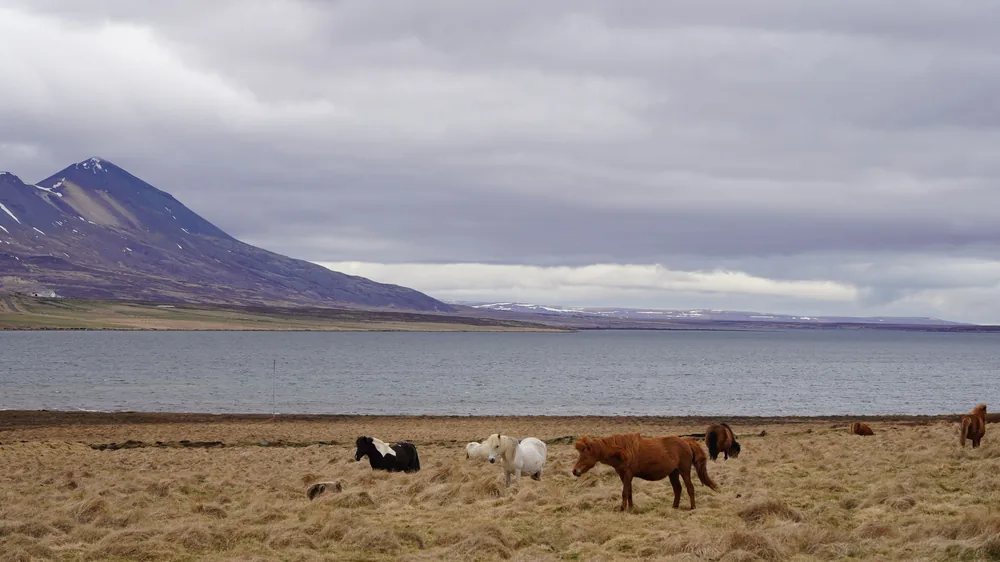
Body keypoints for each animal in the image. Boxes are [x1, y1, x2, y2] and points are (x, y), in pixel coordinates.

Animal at [572, 433, 718, 512]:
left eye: (585, 454)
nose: (574, 471)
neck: (623, 451)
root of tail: (686, 442)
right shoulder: (624, 475)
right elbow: (629, 492)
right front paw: (631, 508)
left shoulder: (628, 474)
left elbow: (624, 492)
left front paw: (622, 509)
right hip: (673, 473)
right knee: (678, 489)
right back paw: (674, 507)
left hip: (684, 471)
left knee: (690, 488)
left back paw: (692, 508)